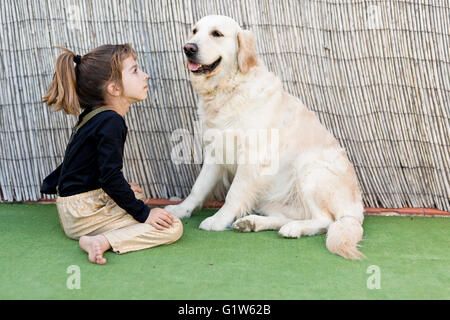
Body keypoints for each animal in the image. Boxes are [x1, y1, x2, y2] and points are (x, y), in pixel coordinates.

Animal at [166, 15, 366, 260]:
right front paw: (180, 209)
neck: (229, 89)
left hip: (309, 169)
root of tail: (356, 211)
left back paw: (293, 228)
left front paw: (218, 220)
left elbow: (234, 194)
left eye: (217, 34)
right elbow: (198, 188)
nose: (188, 48)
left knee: (325, 221)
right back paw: (252, 223)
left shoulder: (251, 157)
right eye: (194, 31)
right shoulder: (215, 153)